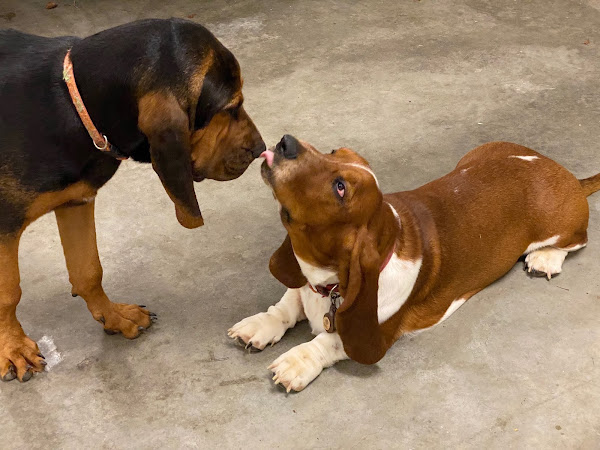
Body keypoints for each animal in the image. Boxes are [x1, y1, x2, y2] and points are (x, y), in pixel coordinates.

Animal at [0, 19, 265, 383]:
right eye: (232, 107)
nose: (261, 148)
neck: (72, 104)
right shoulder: (3, 225)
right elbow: (8, 292)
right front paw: (12, 347)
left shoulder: (76, 201)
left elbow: (88, 270)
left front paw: (114, 316)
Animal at [229, 135, 600, 392]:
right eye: (334, 151)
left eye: (340, 188)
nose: (285, 141)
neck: (329, 282)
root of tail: (563, 172)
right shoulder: (304, 285)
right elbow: (286, 305)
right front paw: (259, 326)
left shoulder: (376, 330)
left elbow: (328, 341)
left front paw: (296, 362)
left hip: (560, 226)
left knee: (577, 240)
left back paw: (545, 258)